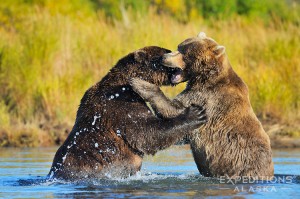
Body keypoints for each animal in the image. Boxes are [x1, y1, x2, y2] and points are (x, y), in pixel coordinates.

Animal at [47, 45, 206, 180]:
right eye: (166, 53)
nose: (180, 66)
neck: (125, 85)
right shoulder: (121, 106)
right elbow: (148, 134)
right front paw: (195, 114)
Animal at [131, 33, 274, 179]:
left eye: (184, 52)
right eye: (179, 46)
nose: (163, 57)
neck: (205, 77)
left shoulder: (208, 99)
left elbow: (176, 110)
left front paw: (140, 84)